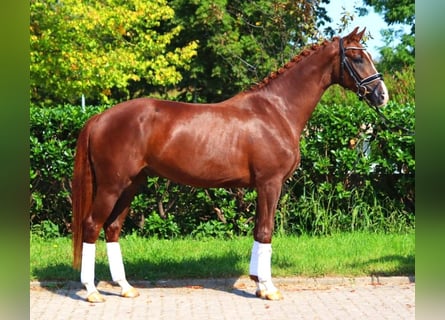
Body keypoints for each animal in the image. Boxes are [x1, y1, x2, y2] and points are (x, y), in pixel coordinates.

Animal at [71, 27, 386, 302]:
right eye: (357, 57)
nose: (382, 95)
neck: (277, 110)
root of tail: (99, 118)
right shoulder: (270, 184)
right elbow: (266, 231)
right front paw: (268, 289)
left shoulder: (263, 187)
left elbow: (258, 230)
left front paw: (258, 284)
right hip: (111, 186)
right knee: (92, 226)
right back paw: (92, 291)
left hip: (131, 185)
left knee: (112, 228)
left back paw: (125, 287)